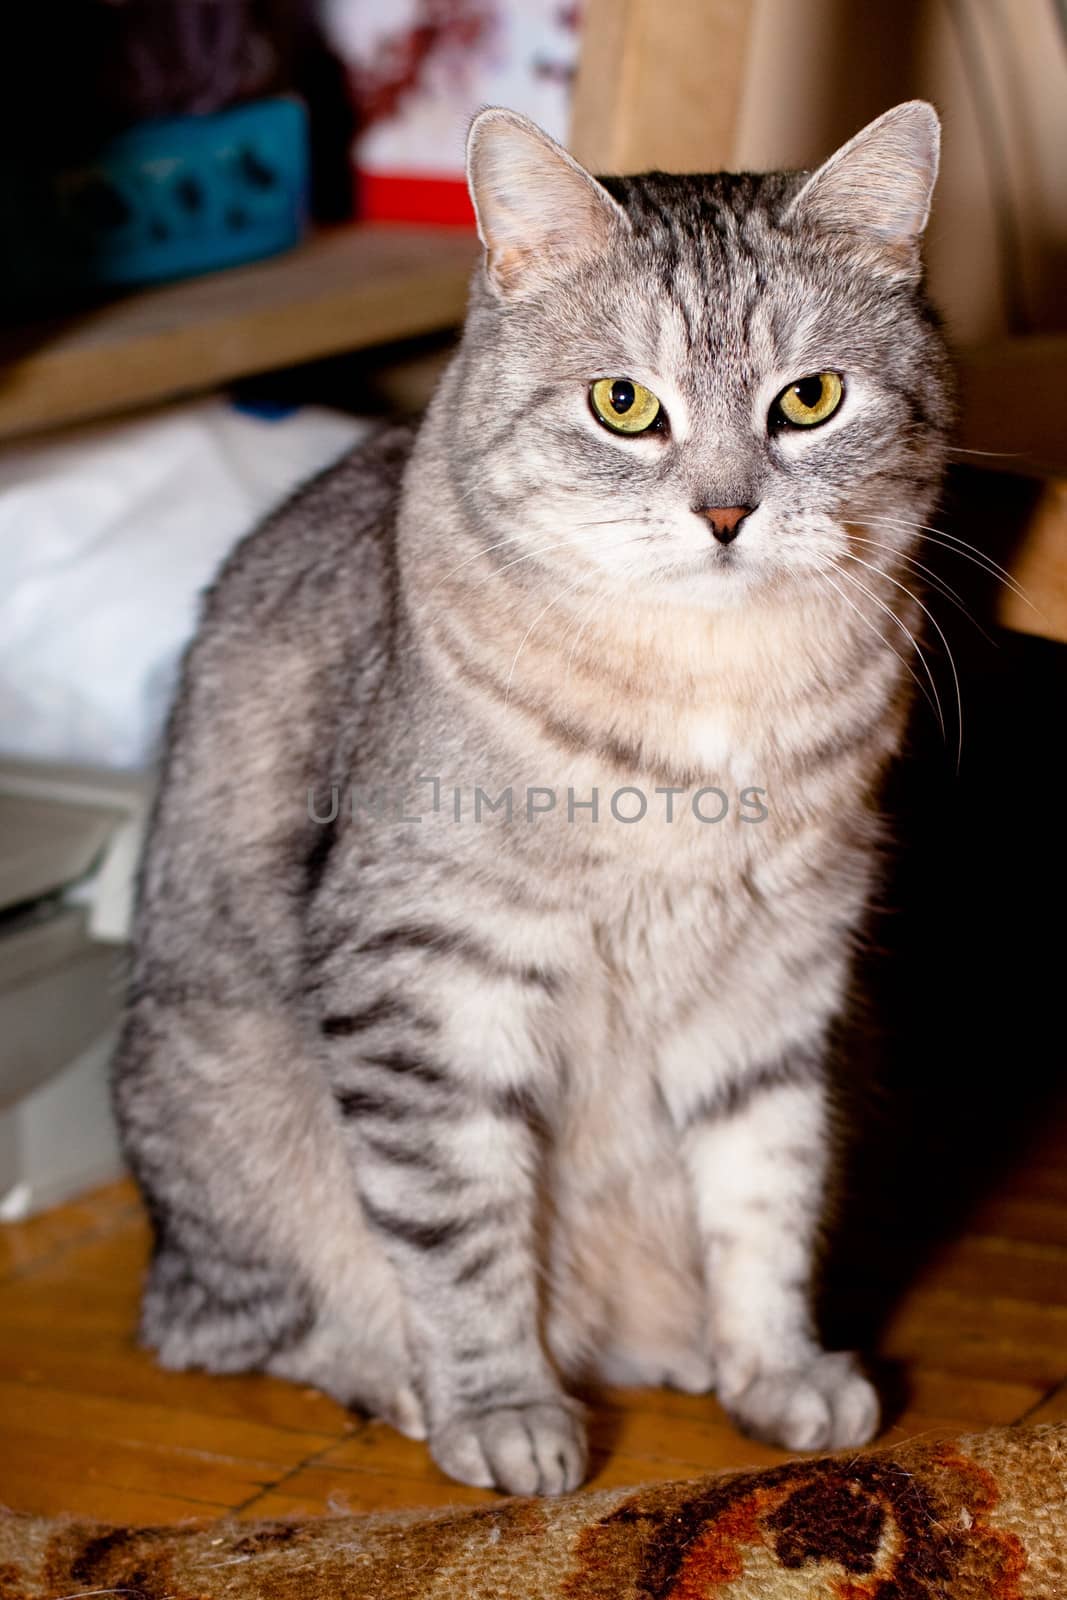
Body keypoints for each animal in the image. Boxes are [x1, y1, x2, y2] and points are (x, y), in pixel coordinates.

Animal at [115, 100, 953, 1491]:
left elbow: (763, 1196)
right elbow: (458, 1232)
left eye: (809, 398)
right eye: (623, 405)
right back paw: (403, 1380)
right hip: (224, 1117)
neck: (709, 694)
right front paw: (503, 1408)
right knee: (239, 1323)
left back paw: (673, 1348)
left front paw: (774, 1370)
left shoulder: (779, 982)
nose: (725, 511)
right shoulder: (428, 979)